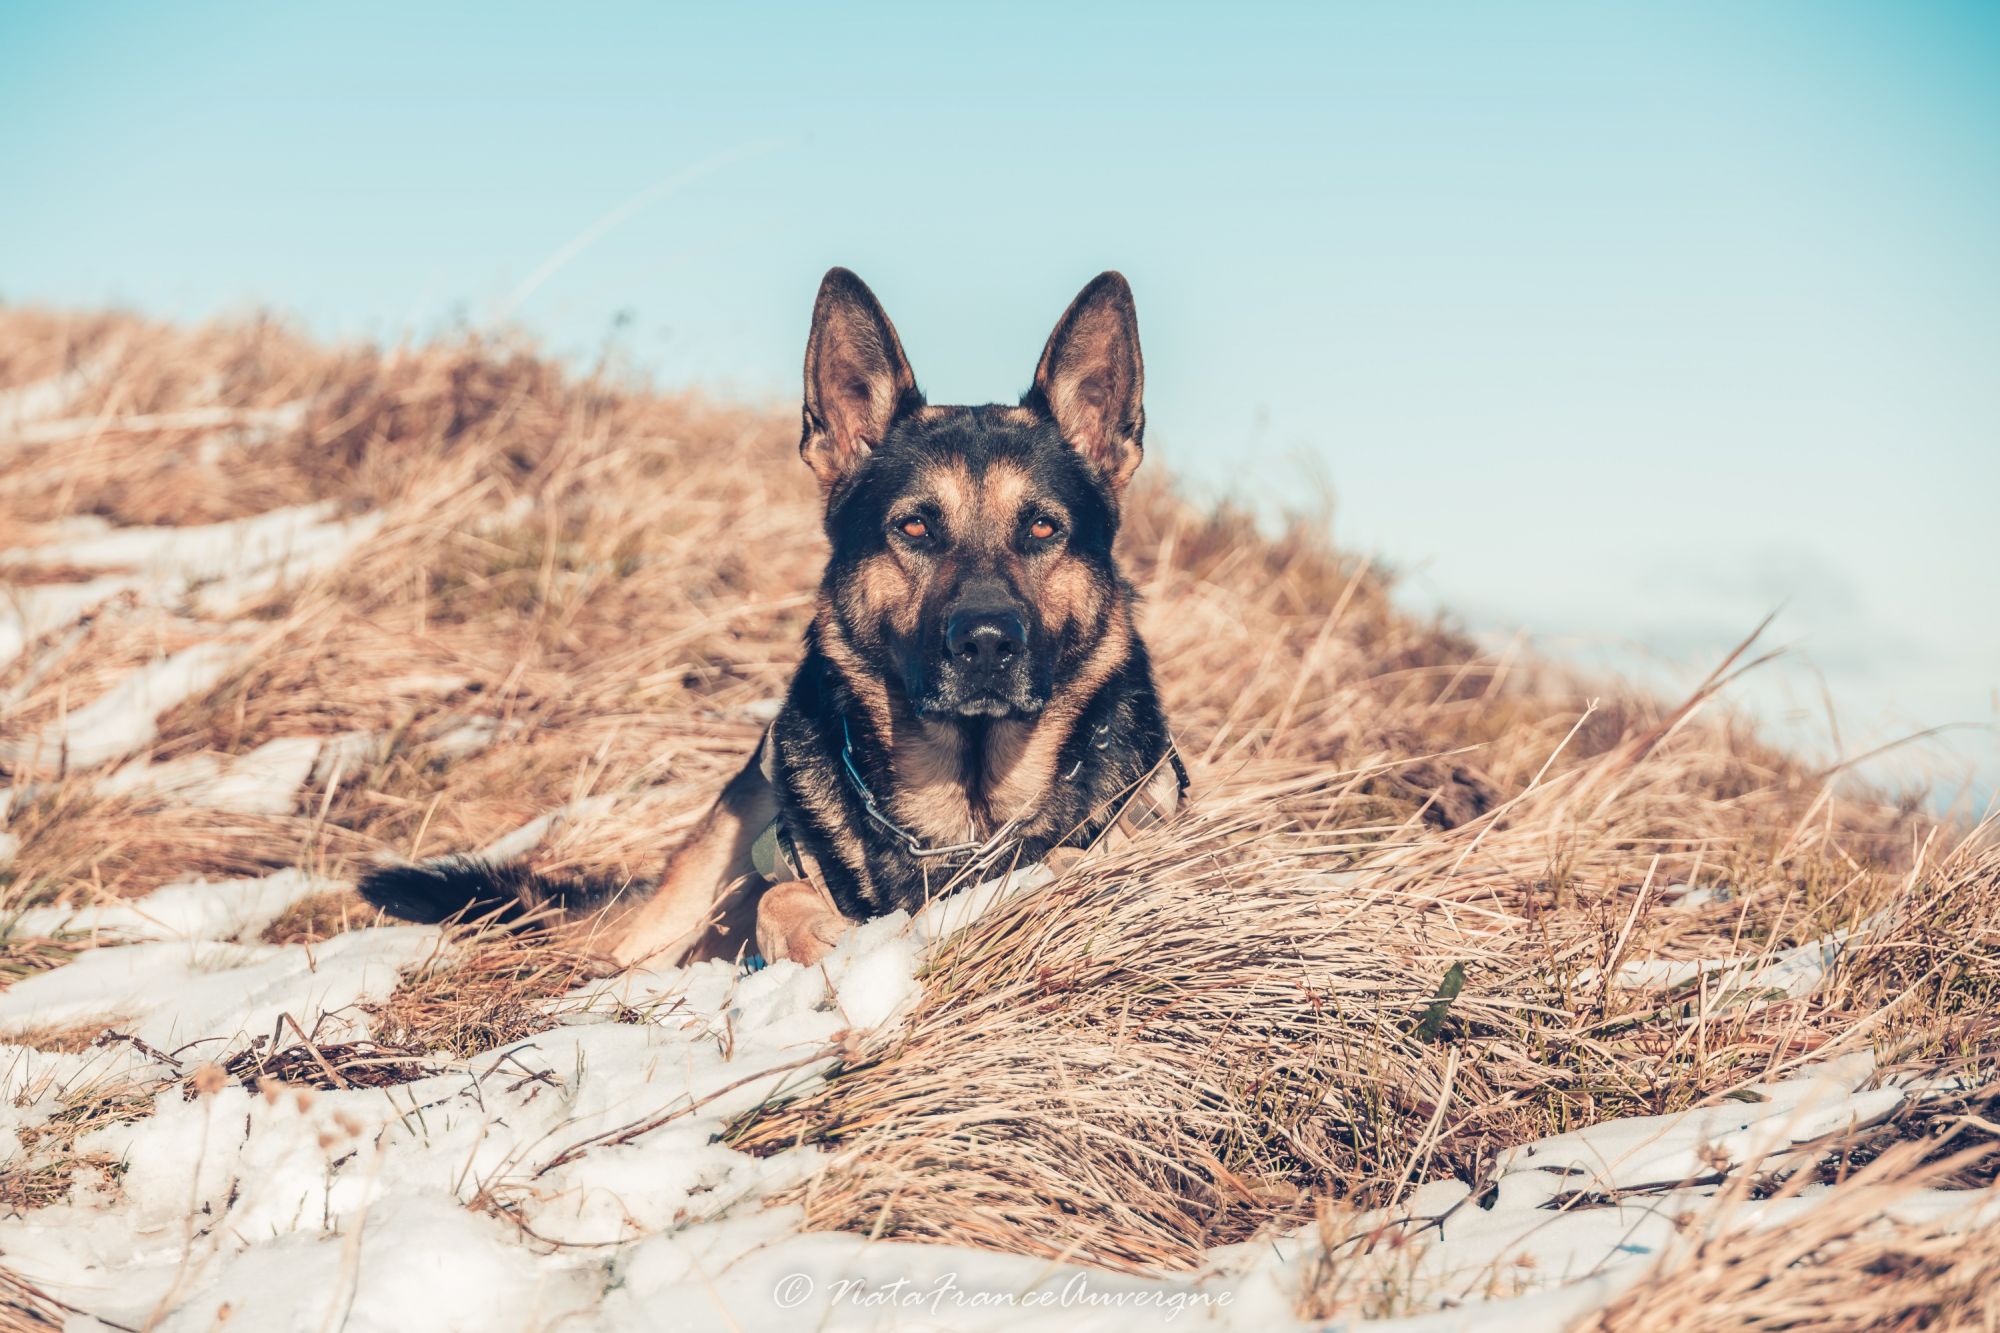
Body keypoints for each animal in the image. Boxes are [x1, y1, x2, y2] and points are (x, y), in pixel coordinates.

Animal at [358, 264, 1176, 960]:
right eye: (914, 527)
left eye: (1041, 529)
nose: (985, 644)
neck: (964, 818)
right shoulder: (771, 878)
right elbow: (776, 901)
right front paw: (830, 943)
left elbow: (1094, 856)